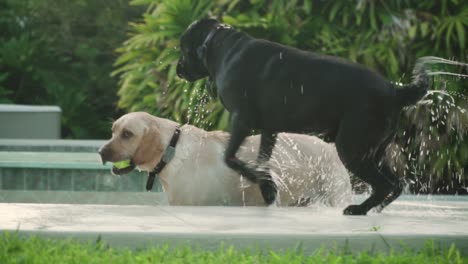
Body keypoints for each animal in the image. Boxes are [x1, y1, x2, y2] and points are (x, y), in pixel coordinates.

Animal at [176, 18, 428, 214]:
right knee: (395, 184)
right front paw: (268, 188)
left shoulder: (242, 120)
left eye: (183, 49)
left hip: (352, 147)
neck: (219, 46)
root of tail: (395, 91)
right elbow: (261, 161)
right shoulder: (269, 128)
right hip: (374, 150)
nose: (177, 69)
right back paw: (374, 209)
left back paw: (358, 209)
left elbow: (230, 158)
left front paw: (267, 188)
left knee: (384, 185)